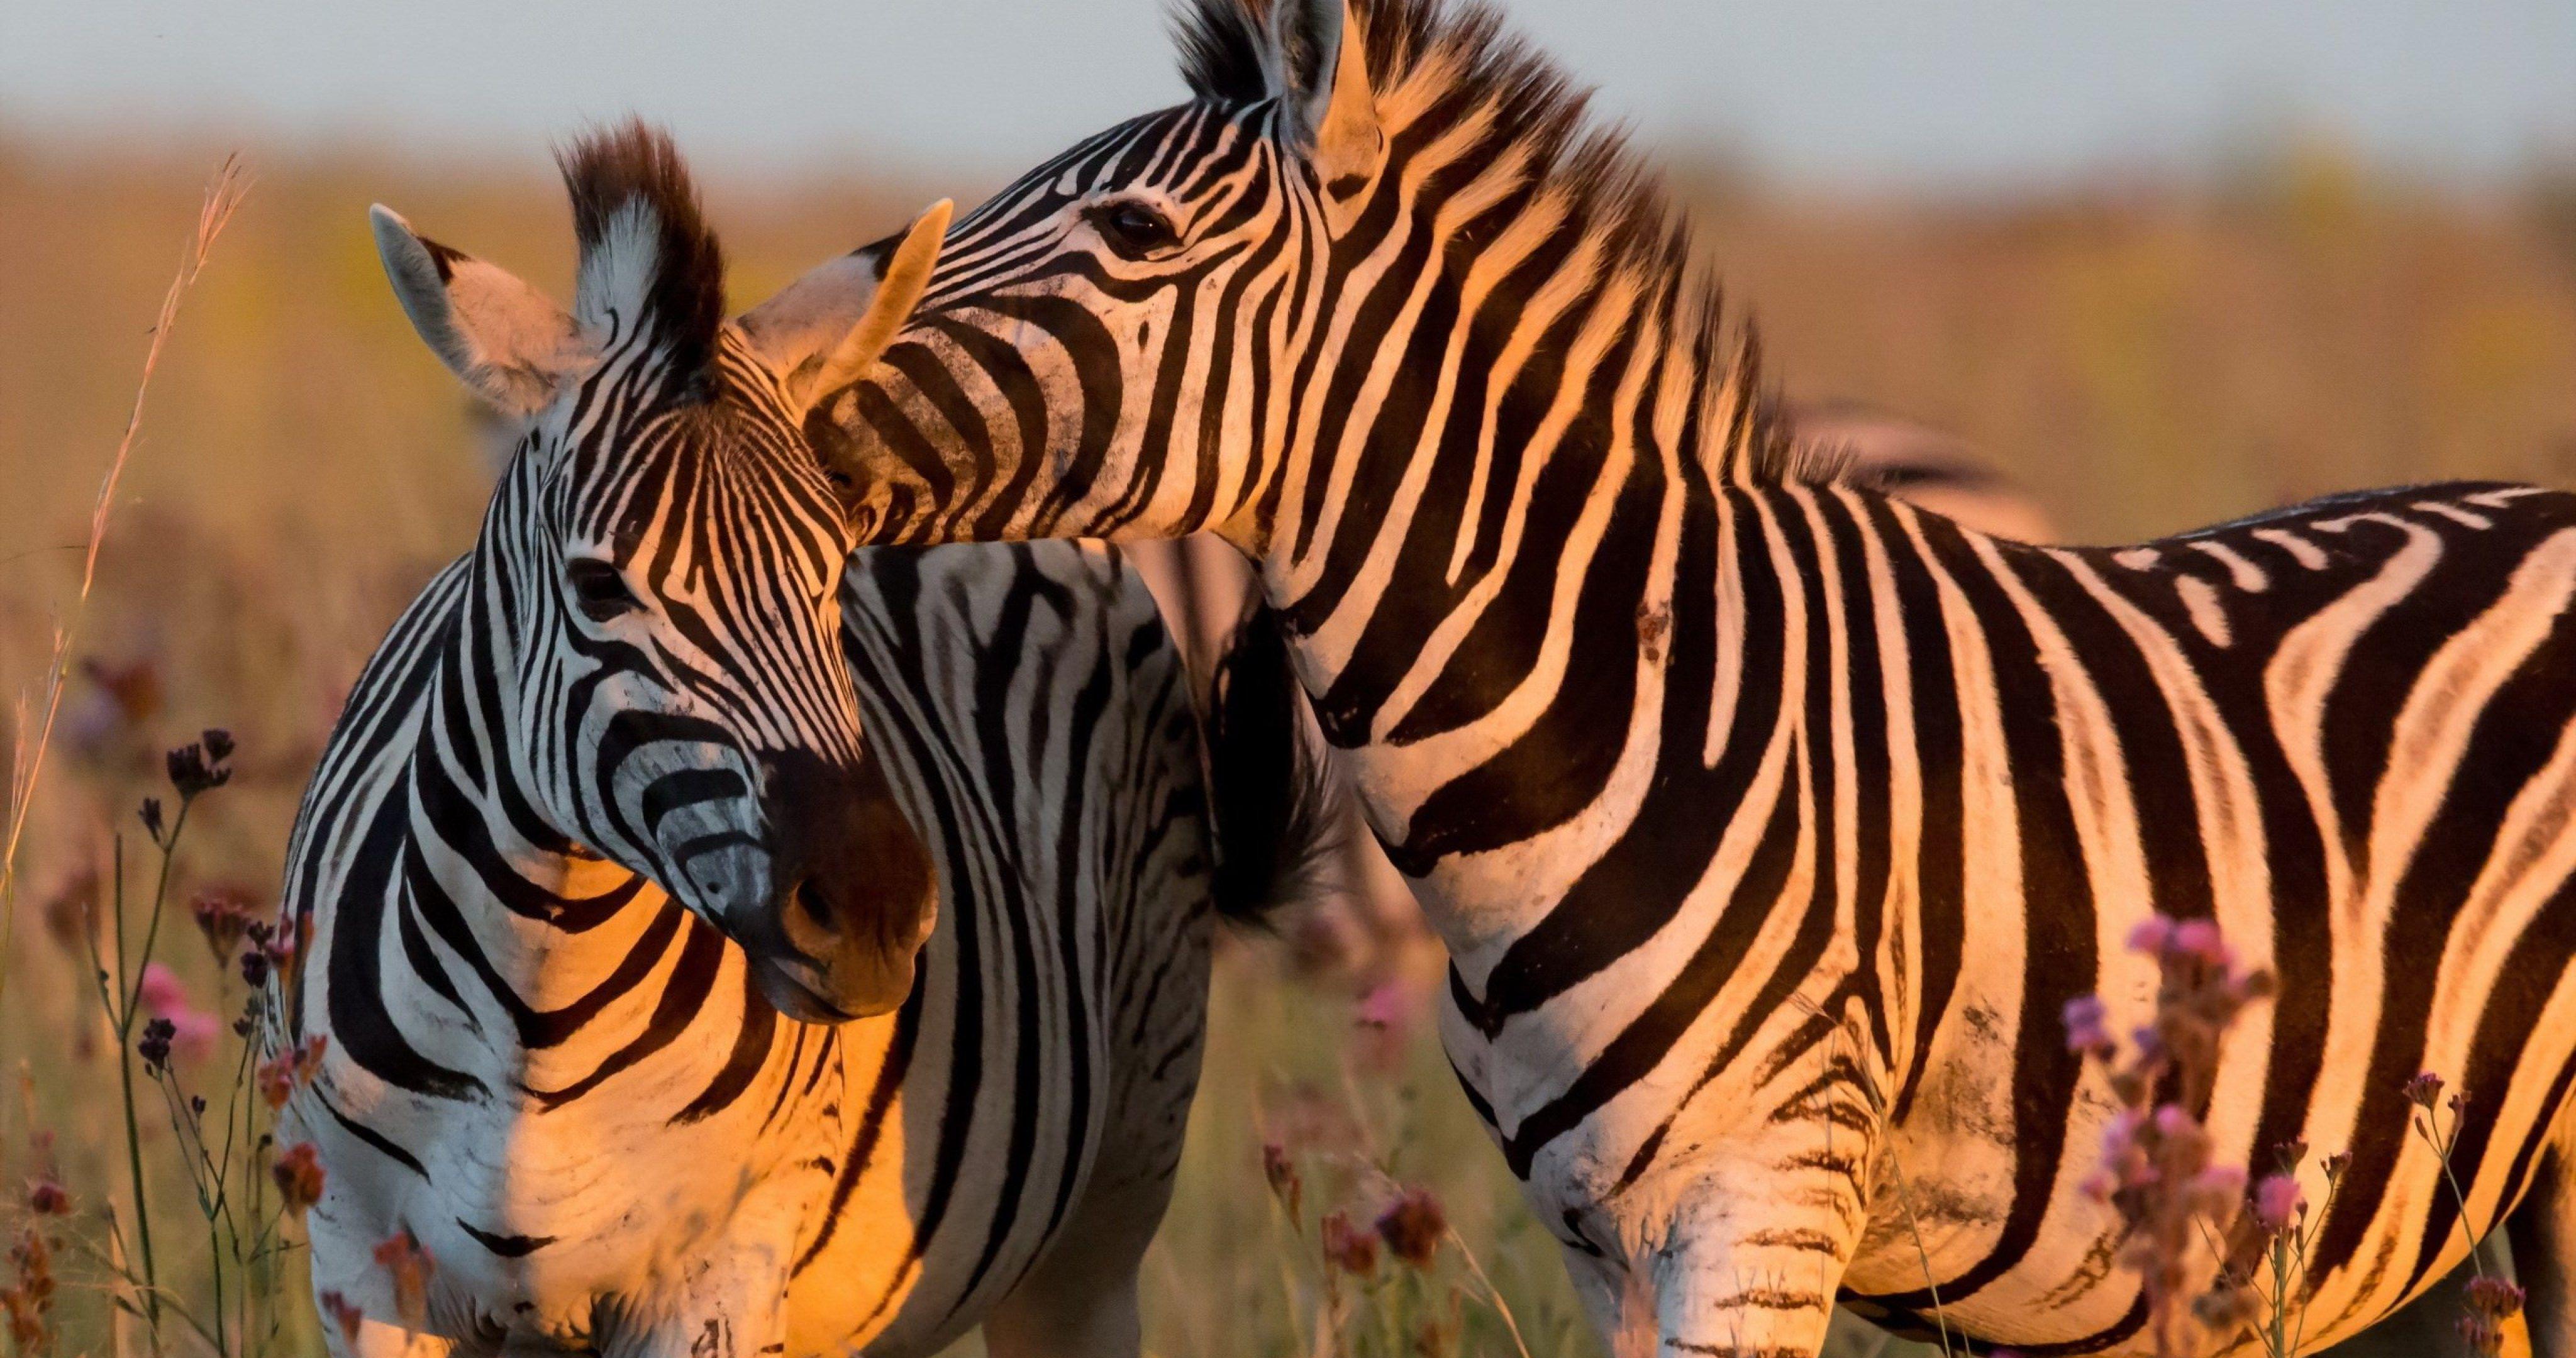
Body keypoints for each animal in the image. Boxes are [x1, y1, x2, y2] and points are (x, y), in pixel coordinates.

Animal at [271, 124, 1315, 1358]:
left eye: (833, 568)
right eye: (598, 587)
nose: (875, 915)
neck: (540, 998)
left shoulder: (716, 1276)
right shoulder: (364, 1270)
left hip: (1109, 1200)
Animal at [801, 2, 2576, 1354]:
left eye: (1132, 234)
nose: (780, 374)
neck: (1627, 708)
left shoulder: (1763, 1210)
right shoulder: (1604, 1243)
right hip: (2418, 1215)